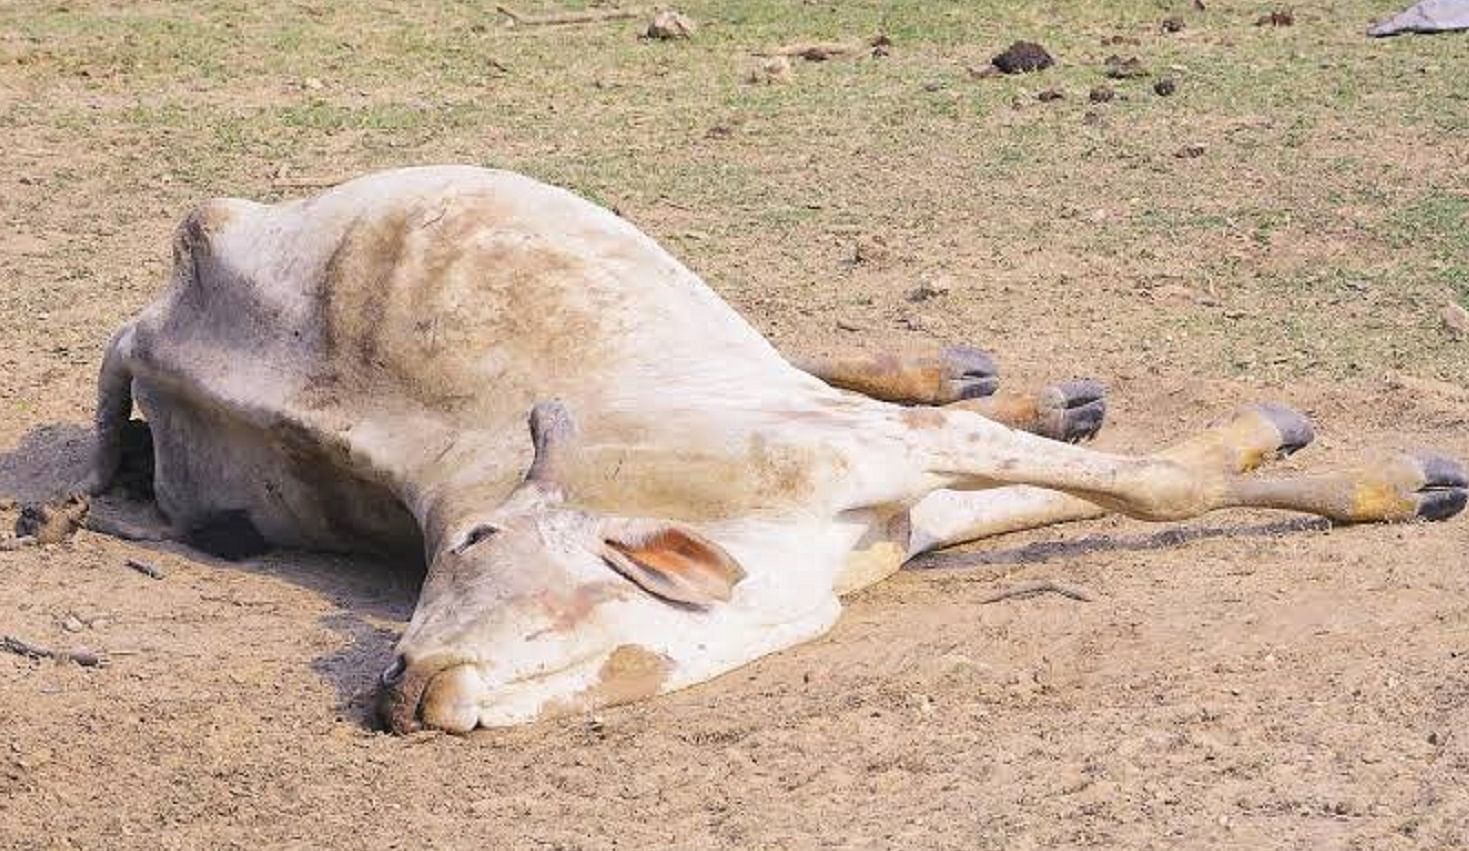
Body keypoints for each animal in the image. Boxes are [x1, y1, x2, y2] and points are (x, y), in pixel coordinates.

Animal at [85, 164, 1463, 731]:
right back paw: (1023, 388)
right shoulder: (897, 496)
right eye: (437, 552)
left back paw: (1004, 379)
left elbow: (1157, 483)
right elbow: (1126, 488)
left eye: (474, 539)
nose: (398, 684)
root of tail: (156, 310)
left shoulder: (880, 460)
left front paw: (1377, 473)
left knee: (823, 355)